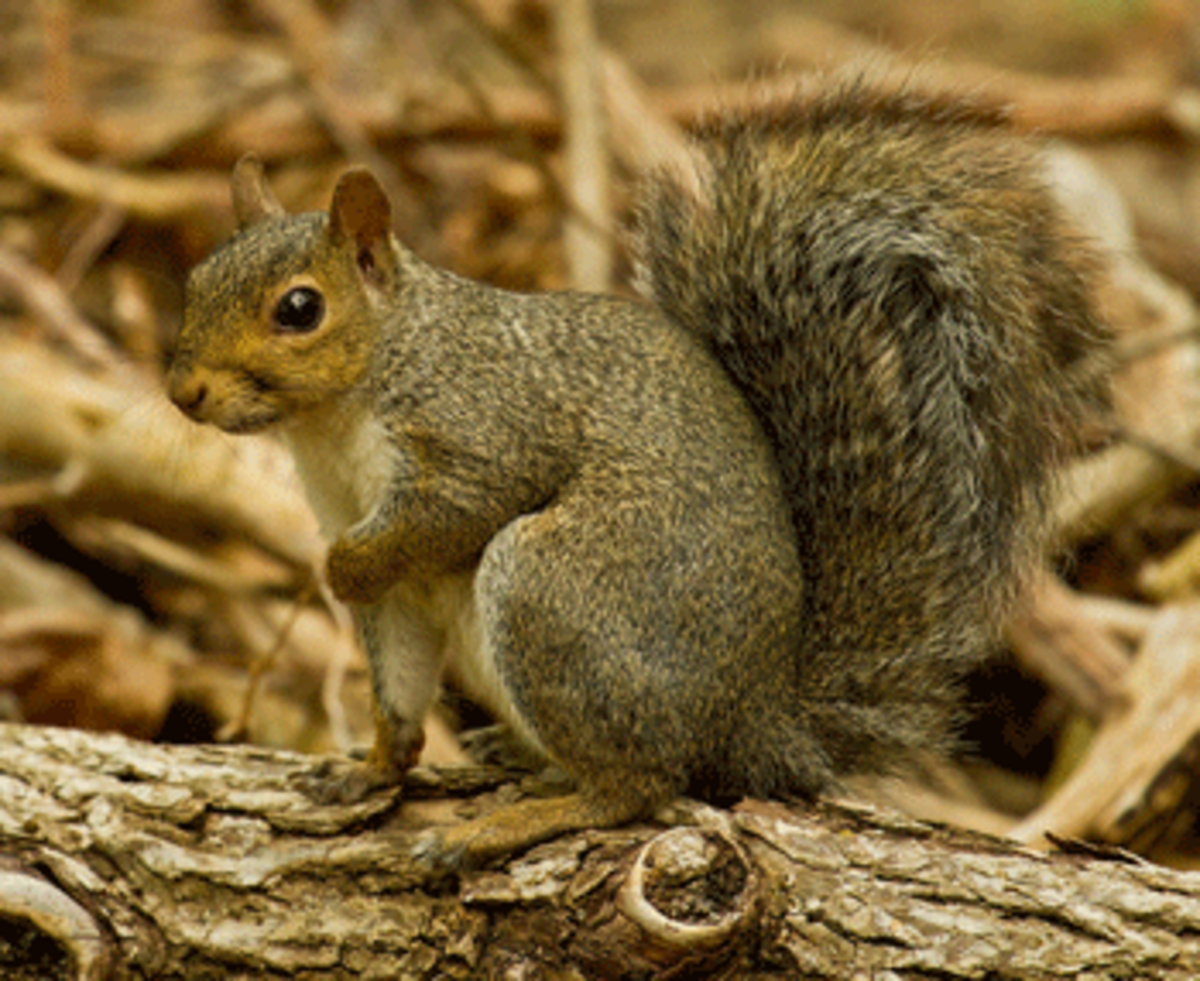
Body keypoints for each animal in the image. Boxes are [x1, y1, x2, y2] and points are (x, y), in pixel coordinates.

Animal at [167, 71, 1107, 868]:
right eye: (194, 279)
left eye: (300, 309)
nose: (183, 391)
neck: (339, 415)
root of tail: (757, 721)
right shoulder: (389, 580)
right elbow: (398, 702)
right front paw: (366, 770)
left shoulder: (483, 431)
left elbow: (456, 509)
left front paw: (341, 568)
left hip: (556, 586)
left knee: (640, 783)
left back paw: (516, 818)